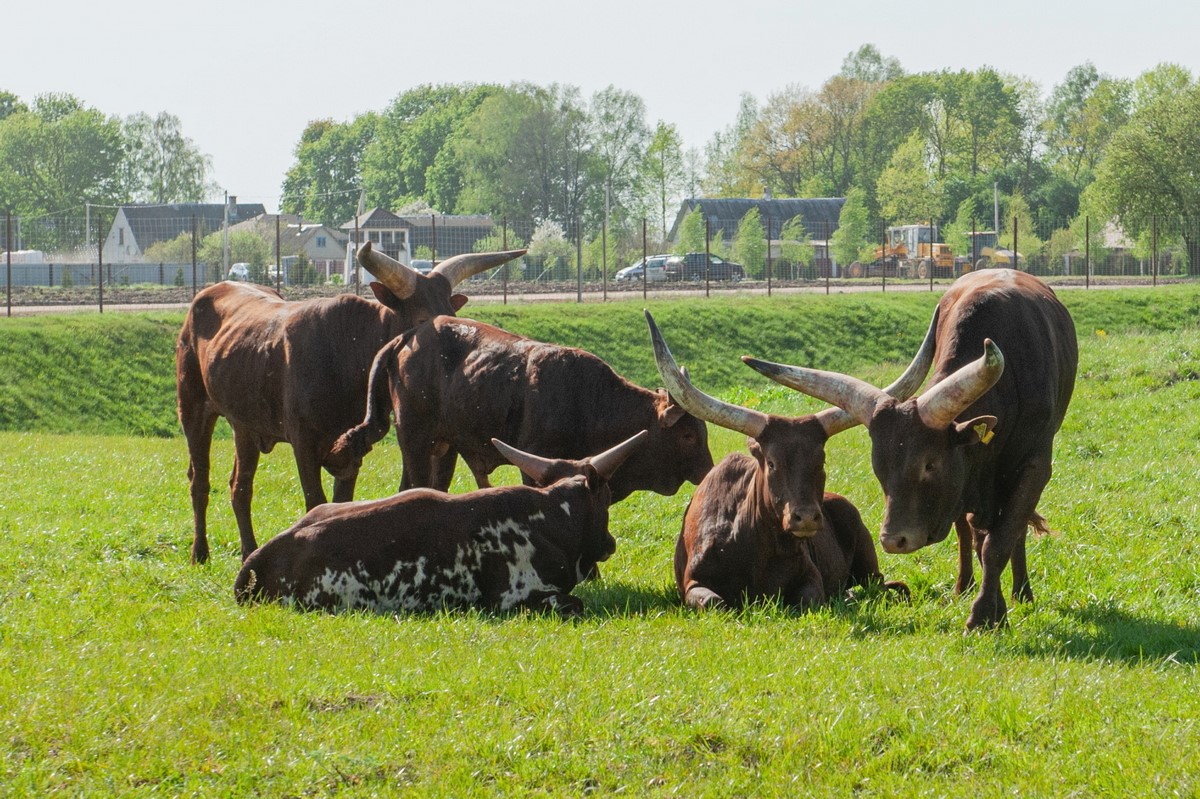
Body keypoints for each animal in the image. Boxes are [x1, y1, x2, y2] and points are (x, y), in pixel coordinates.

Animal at [175, 241, 525, 559]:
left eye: (452, 313)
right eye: (422, 319)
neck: (346, 351)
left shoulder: (350, 454)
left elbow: (341, 503)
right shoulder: (304, 444)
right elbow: (315, 501)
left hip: (245, 427)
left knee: (240, 486)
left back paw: (248, 549)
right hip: (193, 409)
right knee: (200, 481)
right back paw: (200, 553)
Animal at [232, 429, 648, 614]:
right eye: (606, 499)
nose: (610, 543)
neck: (550, 516)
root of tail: (256, 561)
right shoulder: (523, 598)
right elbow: (574, 602)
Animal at [328, 314, 710, 501]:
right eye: (689, 435)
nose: (708, 470)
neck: (592, 401)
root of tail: (406, 337)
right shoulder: (536, 466)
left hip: (438, 446)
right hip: (414, 440)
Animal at [648, 307, 936, 607]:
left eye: (821, 461)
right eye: (771, 462)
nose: (806, 517)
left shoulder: (811, 578)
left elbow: (808, 599)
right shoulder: (693, 584)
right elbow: (714, 602)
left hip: (868, 563)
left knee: (881, 585)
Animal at [744, 267, 1084, 628]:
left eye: (929, 464)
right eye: (878, 468)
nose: (894, 540)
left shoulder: (1034, 467)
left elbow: (1002, 540)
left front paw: (984, 616)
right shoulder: (967, 478)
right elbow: (981, 540)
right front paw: (993, 610)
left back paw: (1022, 592)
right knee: (967, 531)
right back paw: (964, 586)